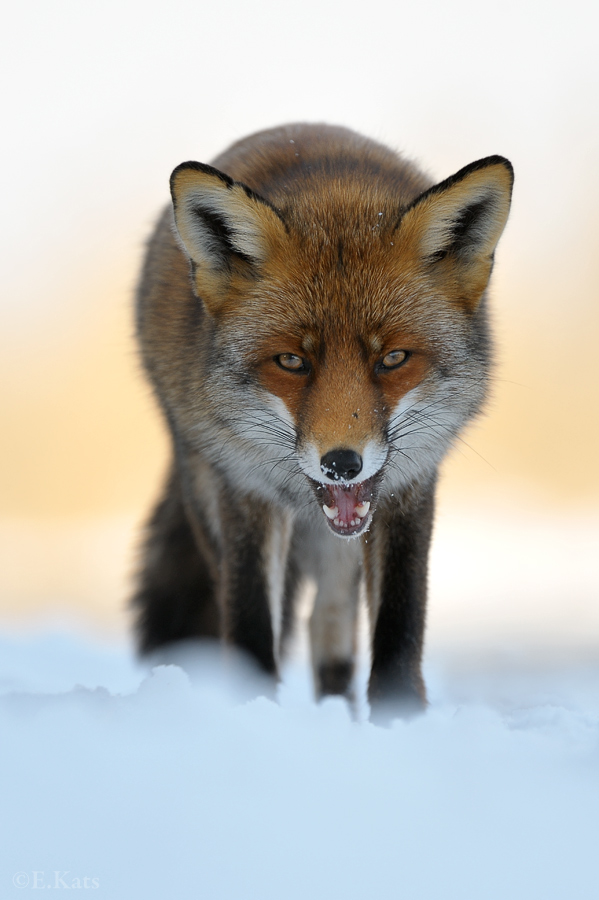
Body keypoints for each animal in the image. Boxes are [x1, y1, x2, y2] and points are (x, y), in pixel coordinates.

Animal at [132, 123, 513, 719]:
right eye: (292, 361)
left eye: (393, 358)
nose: (341, 464)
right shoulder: (243, 492)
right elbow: (249, 623)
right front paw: (252, 711)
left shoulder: (409, 488)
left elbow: (400, 622)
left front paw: (398, 720)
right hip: (203, 487)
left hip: (339, 551)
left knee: (329, 631)